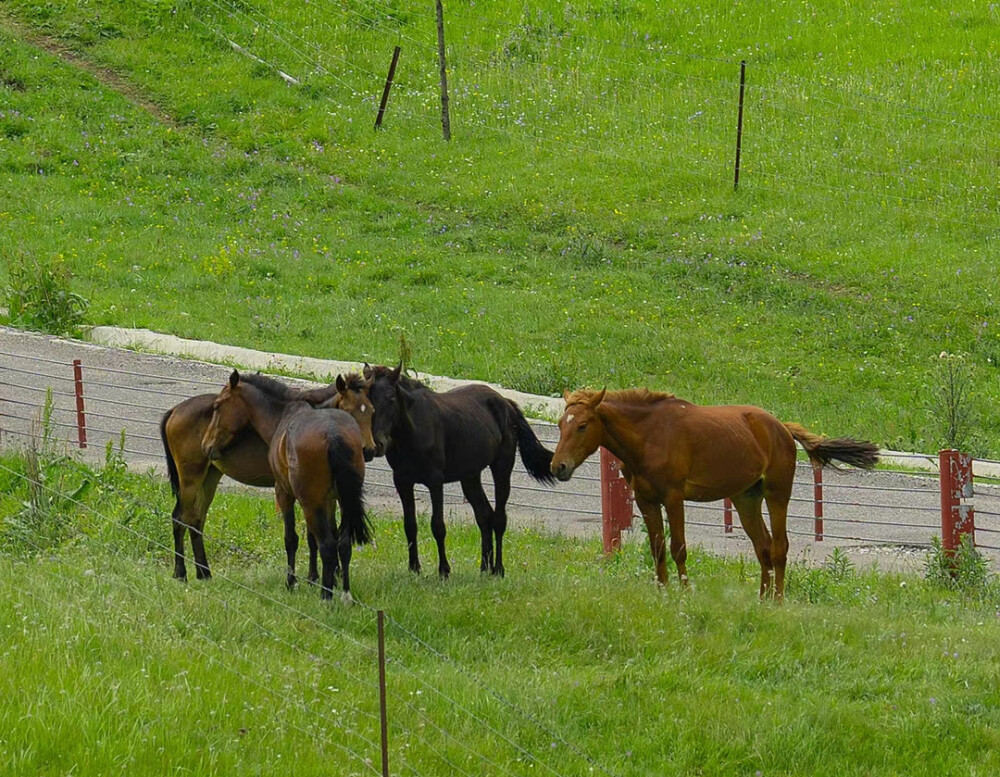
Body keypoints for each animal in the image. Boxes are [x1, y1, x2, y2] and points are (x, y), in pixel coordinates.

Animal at [160, 372, 376, 584]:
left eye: (371, 412)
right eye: (348, 410)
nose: (368, 450)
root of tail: (175, 410)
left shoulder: (326, 497)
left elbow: (325, 535)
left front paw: (322, 576)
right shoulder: (293, 492)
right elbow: (306, 537)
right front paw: (312, 578)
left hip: (209, 478)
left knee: (195, 520)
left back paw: (203, 572)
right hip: (190, 479)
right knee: (180, 518)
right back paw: (181, 572)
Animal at [366, 364, 556, 576]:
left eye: (391, 398)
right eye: (367, 396)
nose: (377, 444)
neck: (414, 431)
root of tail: (506, 403)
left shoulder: (435, 481)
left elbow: (438, 526)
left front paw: (444, 570)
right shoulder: (402, 481)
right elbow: (410, 525)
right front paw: (414, 569)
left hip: (502, 468)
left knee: (499, 519)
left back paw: (498, 569)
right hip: (470, 476)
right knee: (484, 516)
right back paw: (484, 568)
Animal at [552, 388, 880, 600]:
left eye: (583, 425)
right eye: (559, 425)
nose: (558, 467)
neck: (648, 437)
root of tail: (782, 428)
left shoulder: (673, 498)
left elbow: (678, 548)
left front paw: (685, 593)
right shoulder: (646, 500)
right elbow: (657, 548)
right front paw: (662, 592)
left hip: (777, 494)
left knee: (779, 548)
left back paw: (777, 601)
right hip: (746, 498)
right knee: (763, 547)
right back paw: (762, 600)